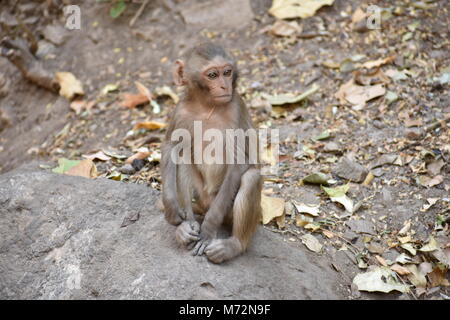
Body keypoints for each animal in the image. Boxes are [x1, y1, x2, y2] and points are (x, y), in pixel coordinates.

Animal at [160, 42, 262, 264]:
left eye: (227, 72)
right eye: (213, 75)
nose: (225, 86)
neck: (207, 106)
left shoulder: (235, 110)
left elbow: (239, 163)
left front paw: (208, 230)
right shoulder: (180, 110)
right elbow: (170, 147)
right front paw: (171, 208)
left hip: (225, 209)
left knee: (251, 177)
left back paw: (234, 245)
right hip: (200, 196)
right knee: (182, 154)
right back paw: (186, 227)